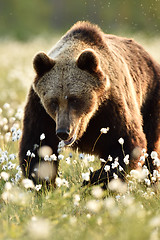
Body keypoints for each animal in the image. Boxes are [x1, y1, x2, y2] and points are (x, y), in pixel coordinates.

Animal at [19, 21, 160, 187]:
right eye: (53, 102)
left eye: (74, 99)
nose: (63, 131)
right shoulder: (40, 110)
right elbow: (36, 146)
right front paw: (42, 184)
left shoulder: (112, 107)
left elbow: (127, 143)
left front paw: (91, 179)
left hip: (150, 98)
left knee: (151, 145)